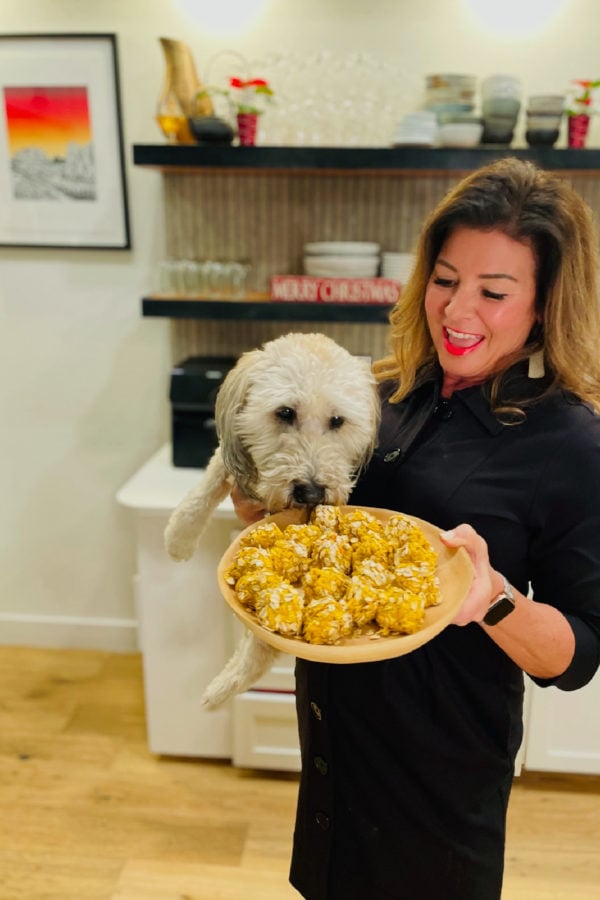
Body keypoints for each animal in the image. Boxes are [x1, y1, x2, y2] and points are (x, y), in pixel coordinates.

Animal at [164, 330, 380, 712]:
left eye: (338, 421)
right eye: (285, 412)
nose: (311, 492)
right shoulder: (231, 458)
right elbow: (206, 487)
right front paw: (179, 538)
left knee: (260, 650)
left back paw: (220, 690)